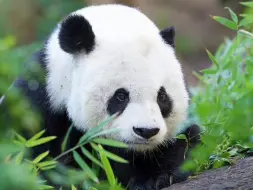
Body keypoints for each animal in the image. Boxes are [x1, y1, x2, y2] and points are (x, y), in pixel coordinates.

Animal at [15, 3, 202, 189]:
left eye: (162, 96)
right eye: (121, 96)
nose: (146, 131)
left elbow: (188, 140)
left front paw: (156, 177)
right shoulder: (41, 102)